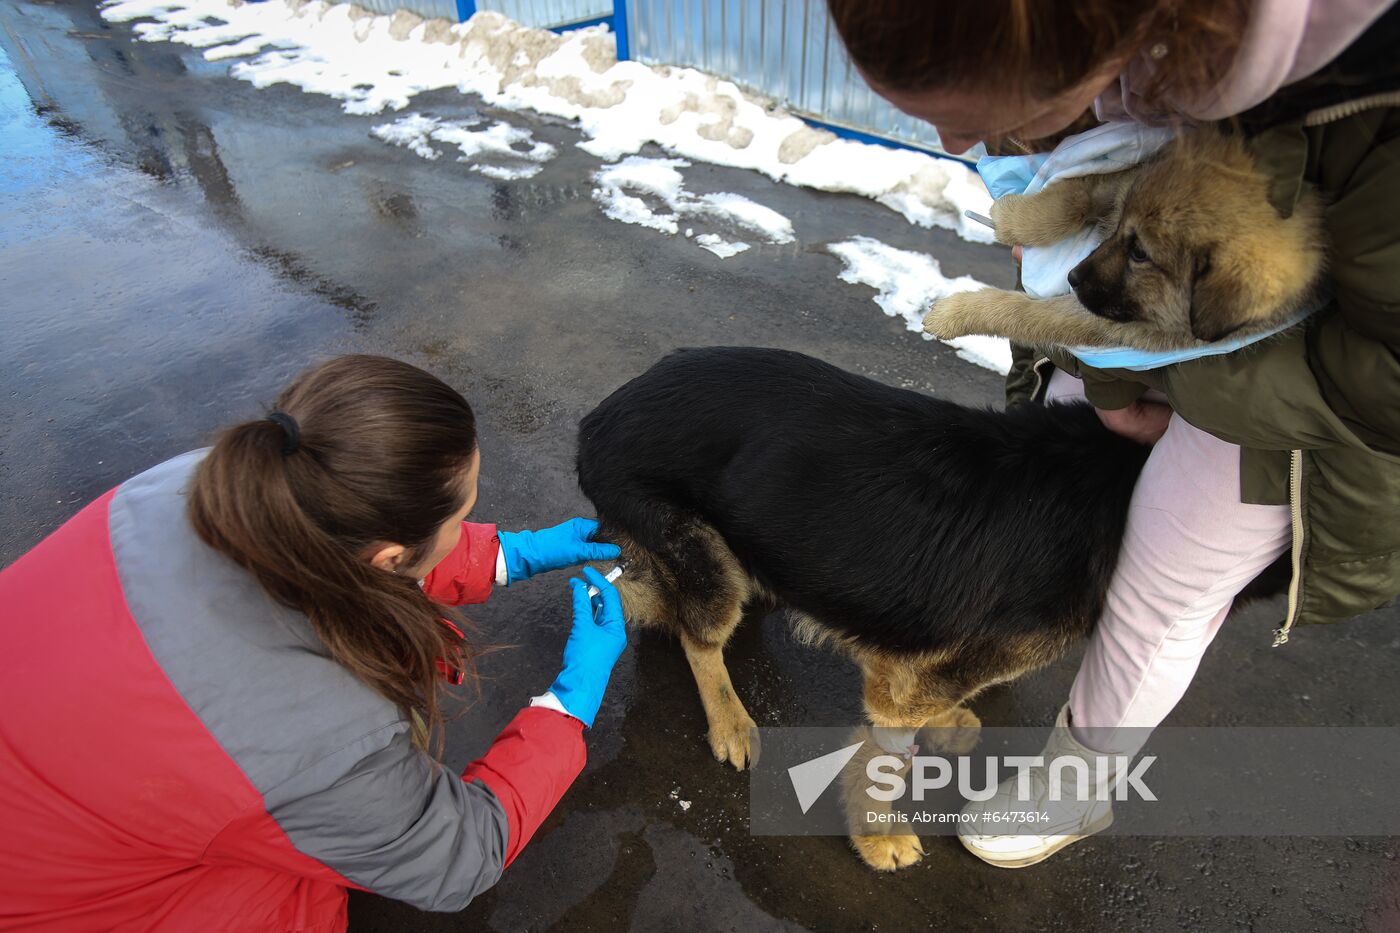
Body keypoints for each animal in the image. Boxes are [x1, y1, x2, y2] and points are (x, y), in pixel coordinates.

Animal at [574, 344, 1153, 868]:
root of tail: (600, 416)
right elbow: (886, 760)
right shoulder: (909, 691)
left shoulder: (915, 666)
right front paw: (877, 834)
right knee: (696, 637)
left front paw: (944, 722)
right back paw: (730, 721)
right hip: (708, 563)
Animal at [918, 130, 1321, 348]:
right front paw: (1012, 217)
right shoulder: (1121, 181)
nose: (1072, 277)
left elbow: (1019, 312)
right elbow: (1072, 199)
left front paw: (954, 315)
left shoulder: (1104, 319)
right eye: (1126, 235)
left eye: (1141, 254)